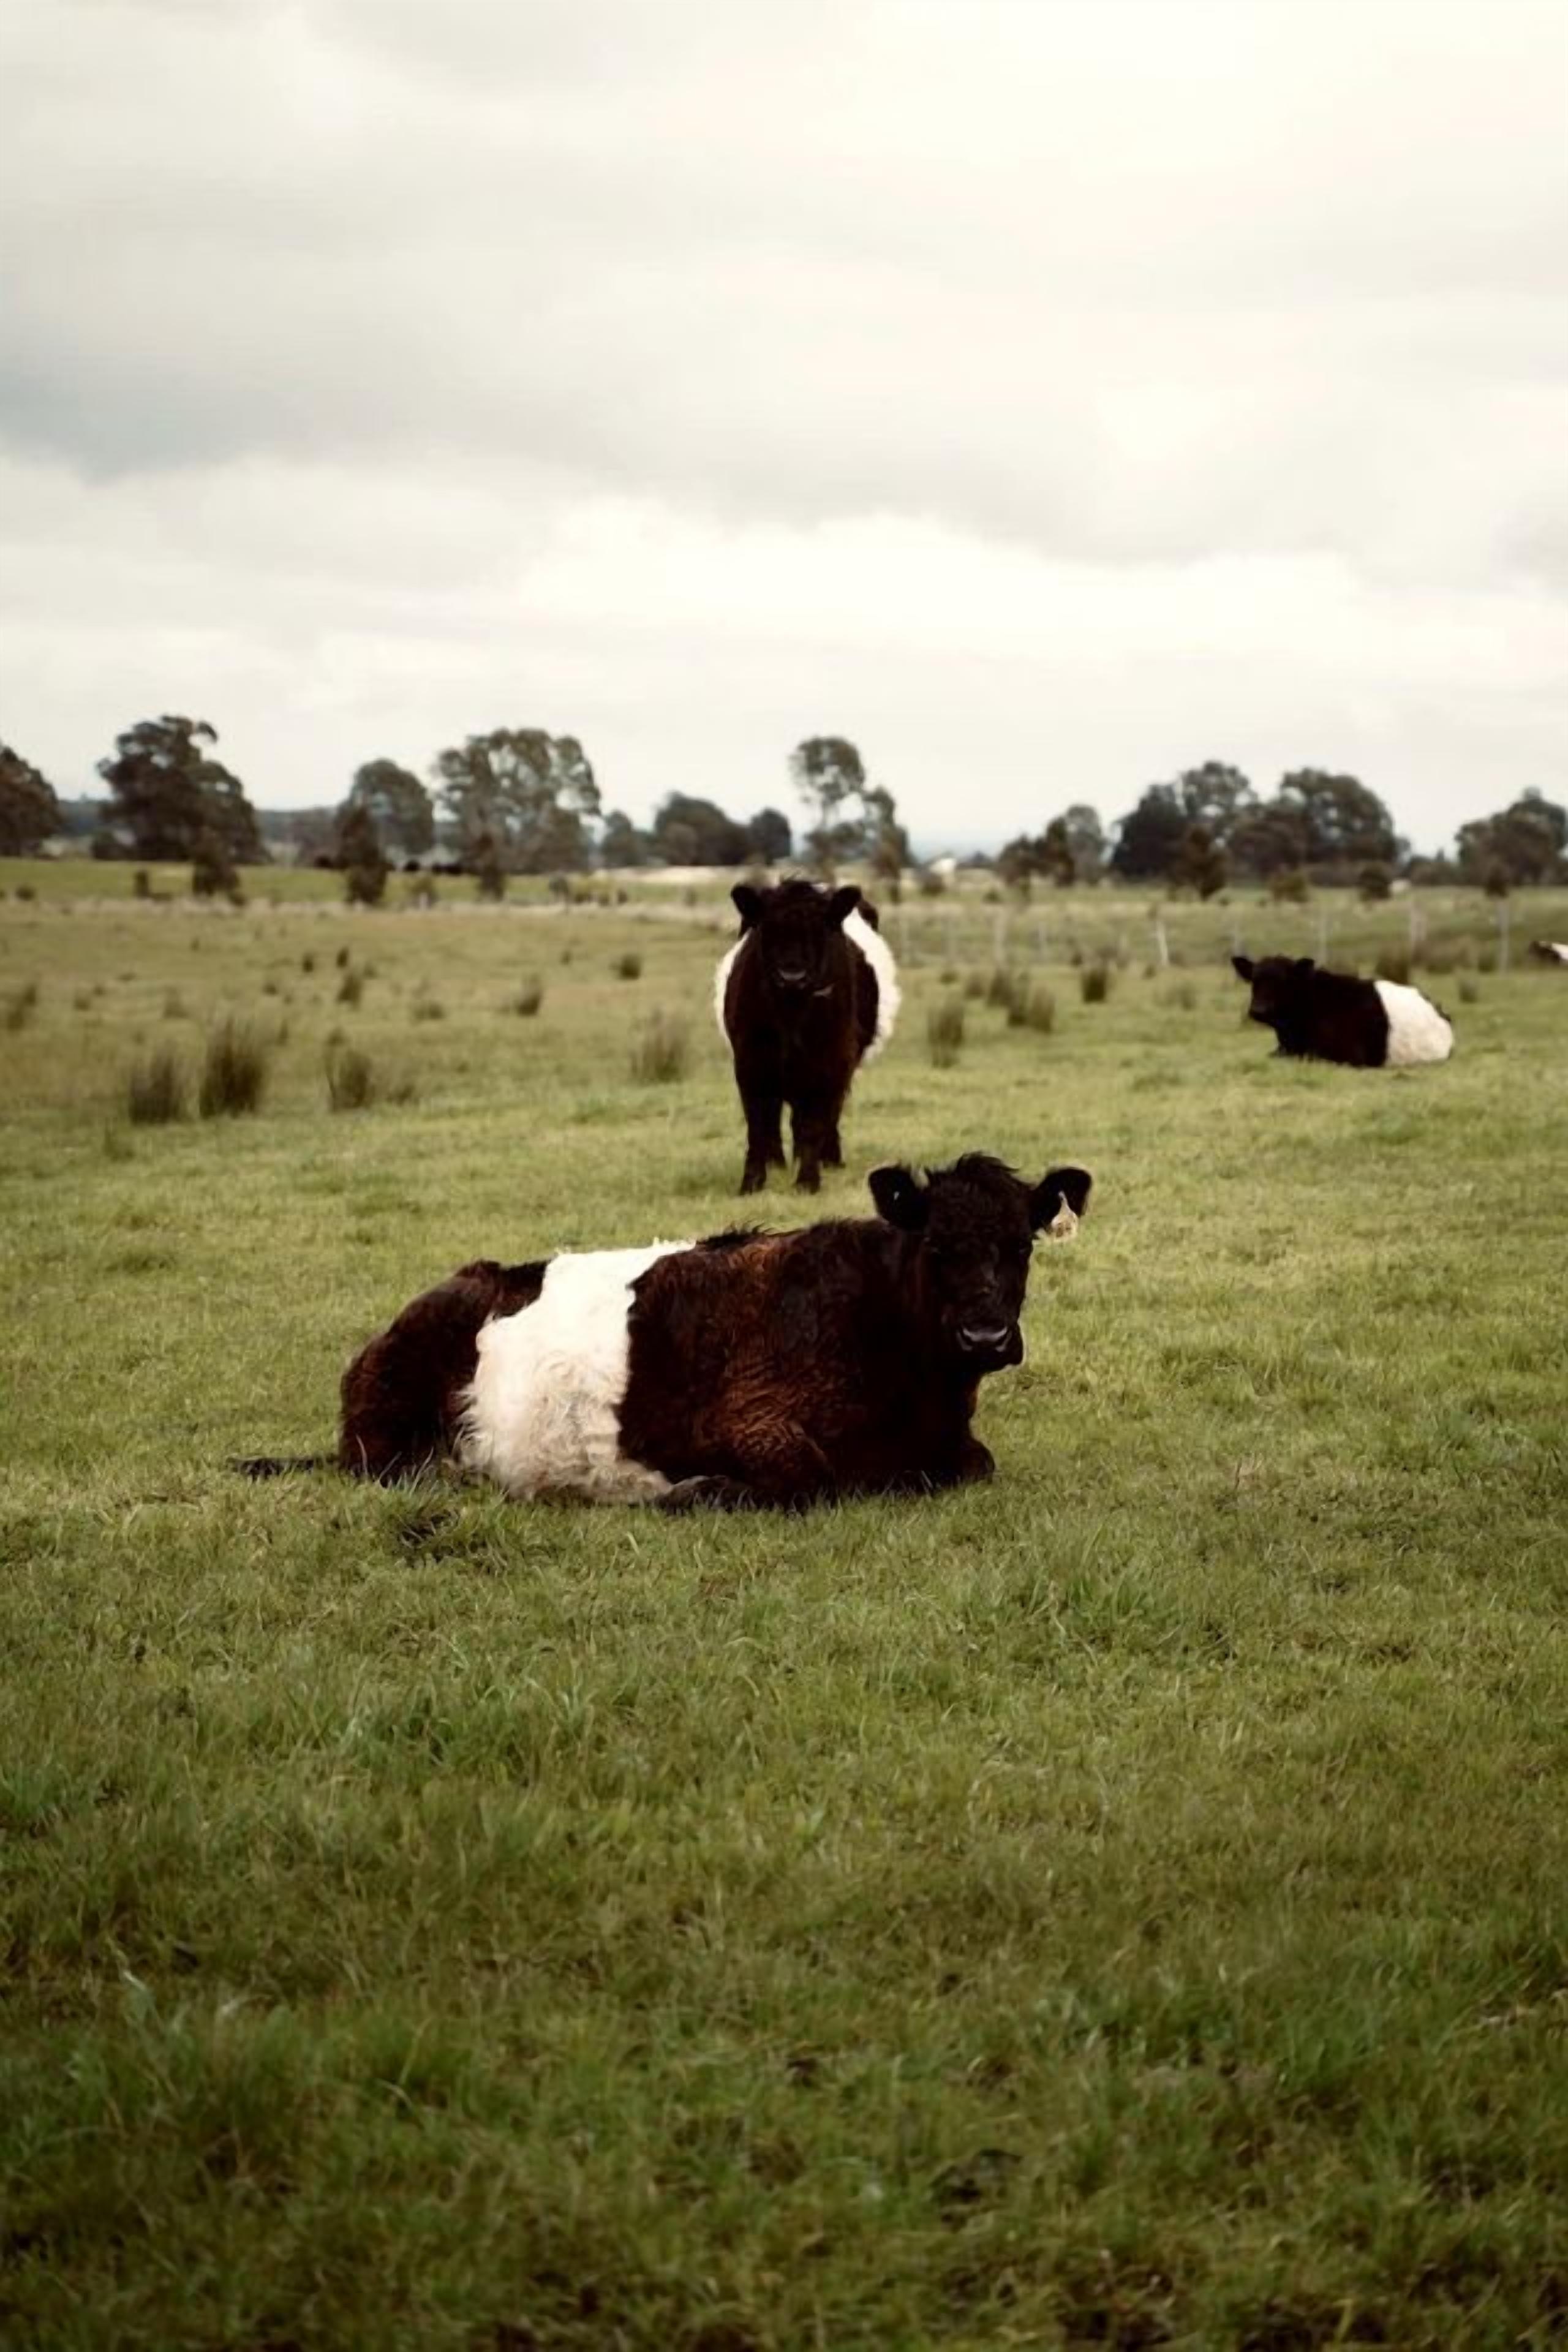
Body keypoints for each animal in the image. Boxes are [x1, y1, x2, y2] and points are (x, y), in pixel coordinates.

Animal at [237, 1153, 1092, 1511]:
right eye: (939, 1248)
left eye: (1021, 1247)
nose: (986, 1338)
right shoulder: (756, 1425)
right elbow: (810, 1482)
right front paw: (691, 1491)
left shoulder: (955, 1447)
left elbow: (976, 1465)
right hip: (392, 1425)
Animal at [714, 877, 900, 1194]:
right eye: (769, 928)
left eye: (820, 930)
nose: (793, 976)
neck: (792, 1012)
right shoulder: (750, 1063)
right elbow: (758, 1123)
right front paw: (752, 1182)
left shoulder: (831, 1062)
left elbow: (814, 1123)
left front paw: (808, 1181)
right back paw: (778, 1163)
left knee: (825, 1115)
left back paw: (829, 1160)